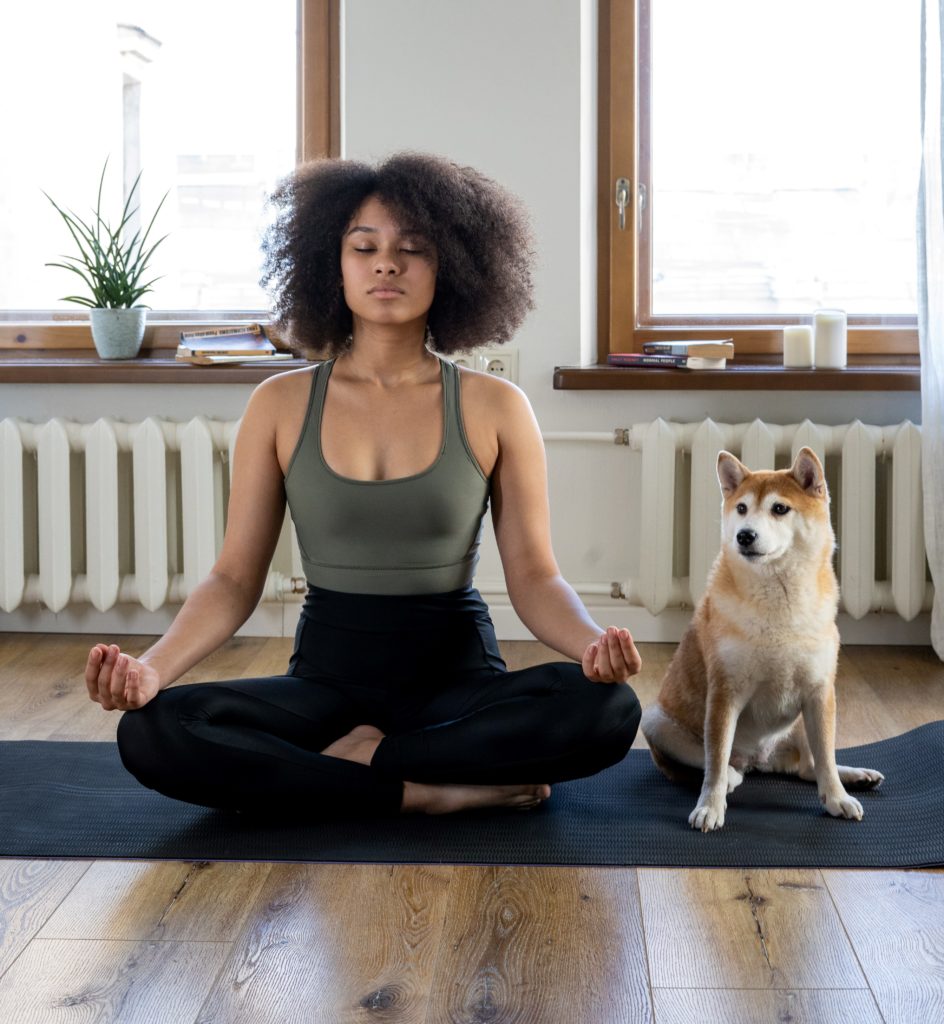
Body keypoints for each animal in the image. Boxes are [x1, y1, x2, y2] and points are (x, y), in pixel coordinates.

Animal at [638, 448, 884, 831]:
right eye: (741, 508)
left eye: (779, 508)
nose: (745, 535)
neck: (778, 602)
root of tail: (760, 760)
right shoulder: (725, 693)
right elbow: (715, 760)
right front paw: (710, 806)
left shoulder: (819, 691)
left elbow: (826, 759)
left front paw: (837, 797)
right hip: (656, 720)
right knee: (720, 765)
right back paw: (732, 777)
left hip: (801, 723)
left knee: (809, 766)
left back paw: (855, 776)